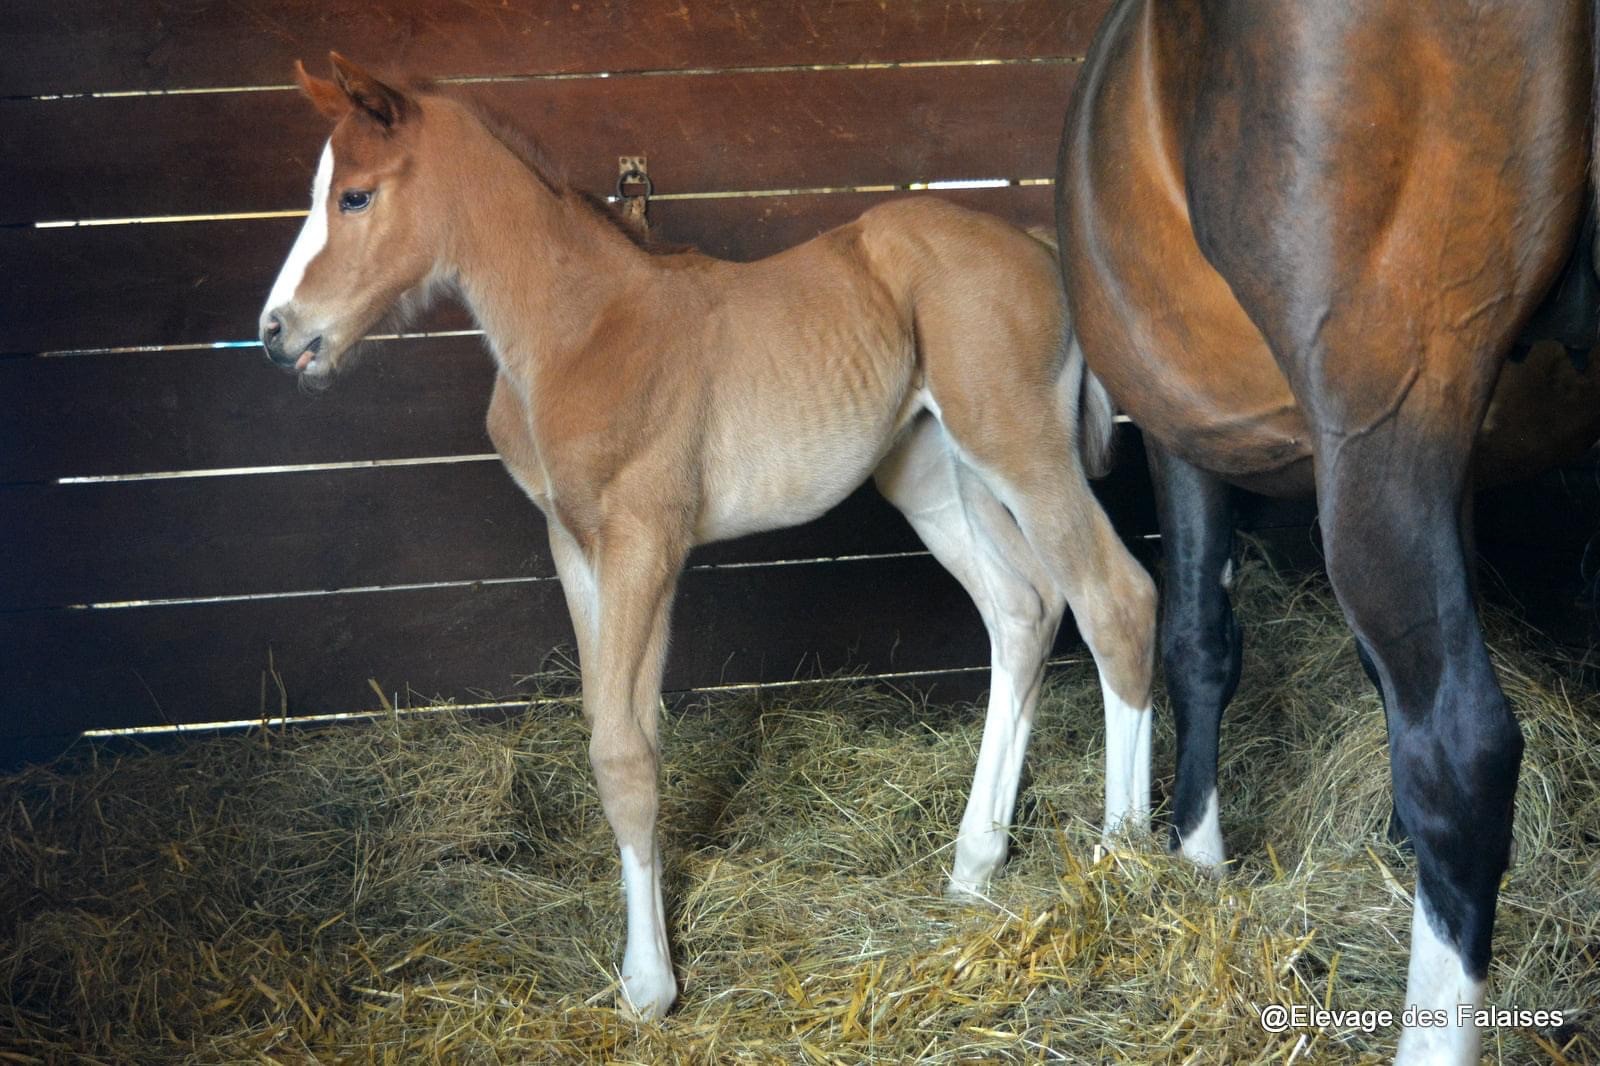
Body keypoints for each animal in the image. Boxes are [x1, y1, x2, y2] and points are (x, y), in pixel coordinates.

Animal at [262, 56, 1152, 1011]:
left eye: (354, 196)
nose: (277, 334)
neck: (579, 327)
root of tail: (1040, 246)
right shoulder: (575, 547)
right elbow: (612, 720)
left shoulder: (645, 541)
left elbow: (624, 748)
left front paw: (647, 984)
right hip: (939, 476)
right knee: (1026, 610)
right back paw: (974, 866)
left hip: (1020, 447)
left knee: (1117, 600)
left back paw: (1125, 861)